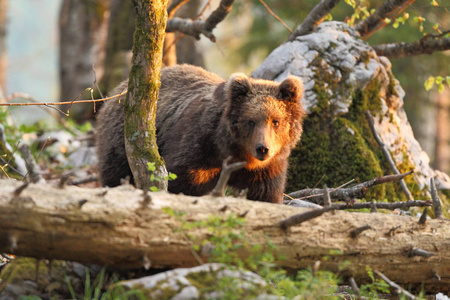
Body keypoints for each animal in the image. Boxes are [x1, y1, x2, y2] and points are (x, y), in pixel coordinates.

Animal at [96, 64, 306, 203]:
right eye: (250, 121)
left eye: (276, 121)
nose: (263, 149)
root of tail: (118, 90)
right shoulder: (196, 150)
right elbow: (178, 182)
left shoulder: (267, 170)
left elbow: (265, 195)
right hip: (121, 141)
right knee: (115, 174)